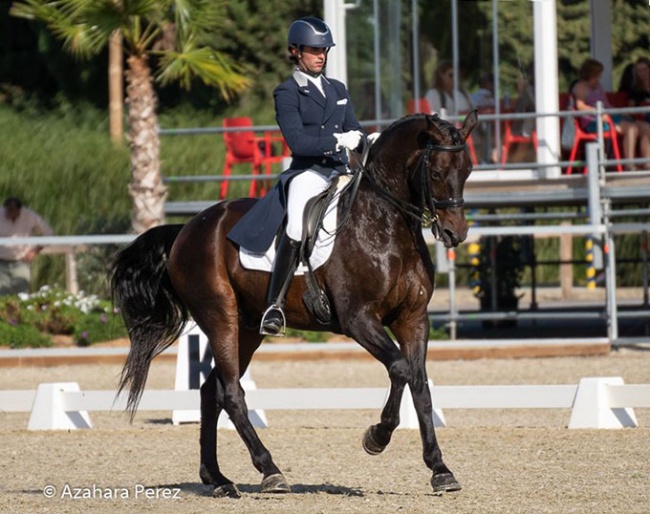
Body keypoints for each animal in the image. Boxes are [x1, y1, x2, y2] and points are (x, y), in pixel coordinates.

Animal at [110, 111, 476, 496]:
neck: (385, 226)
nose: (456, 234)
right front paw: (376, 437)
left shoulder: (413, 319)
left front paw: (440, 470)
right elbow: (400, 369)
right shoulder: (359, 319)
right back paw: (269, 471)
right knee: (231, 392)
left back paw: (218, 478)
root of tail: (187, 229)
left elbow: (420, 384)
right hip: (220, 318)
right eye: (436, 174)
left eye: (467, 170)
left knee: (212, 391)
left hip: (248, 328)